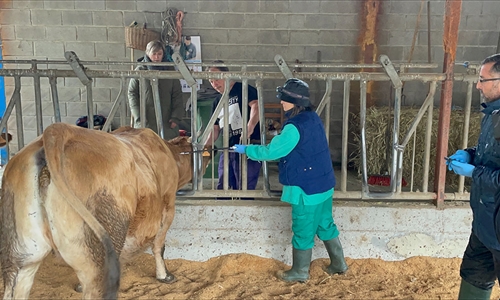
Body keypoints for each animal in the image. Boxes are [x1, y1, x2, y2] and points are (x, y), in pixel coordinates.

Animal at [0, 123, 212, 298]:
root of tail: (59, 130)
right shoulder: (168, 205)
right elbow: (159, 245)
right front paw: (164, 276)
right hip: (99, 255)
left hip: (22, 255)